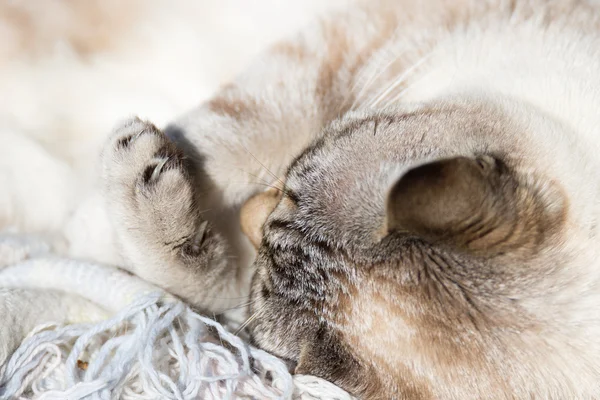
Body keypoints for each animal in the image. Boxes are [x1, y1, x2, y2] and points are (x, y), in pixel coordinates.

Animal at [101, 1, 600, 398]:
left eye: (265, 244)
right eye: (293, 182)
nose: (248, 212)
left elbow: (194, 286)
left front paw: (123, 186)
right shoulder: (360, 39)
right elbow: (227, 133)